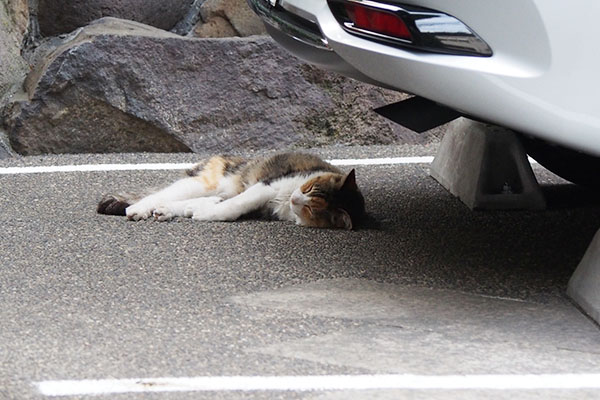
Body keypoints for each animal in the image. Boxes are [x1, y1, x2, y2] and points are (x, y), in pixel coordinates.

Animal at [98, 152, 366, 228]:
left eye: (311, 209)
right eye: (307, 187)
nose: (295, 198)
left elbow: (228, 207)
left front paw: (198, 212)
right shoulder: (266, 186)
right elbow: (236, 205)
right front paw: (206, 214)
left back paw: (164, 211)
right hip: (203, 182)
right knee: (158, 194)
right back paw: (139, 209)